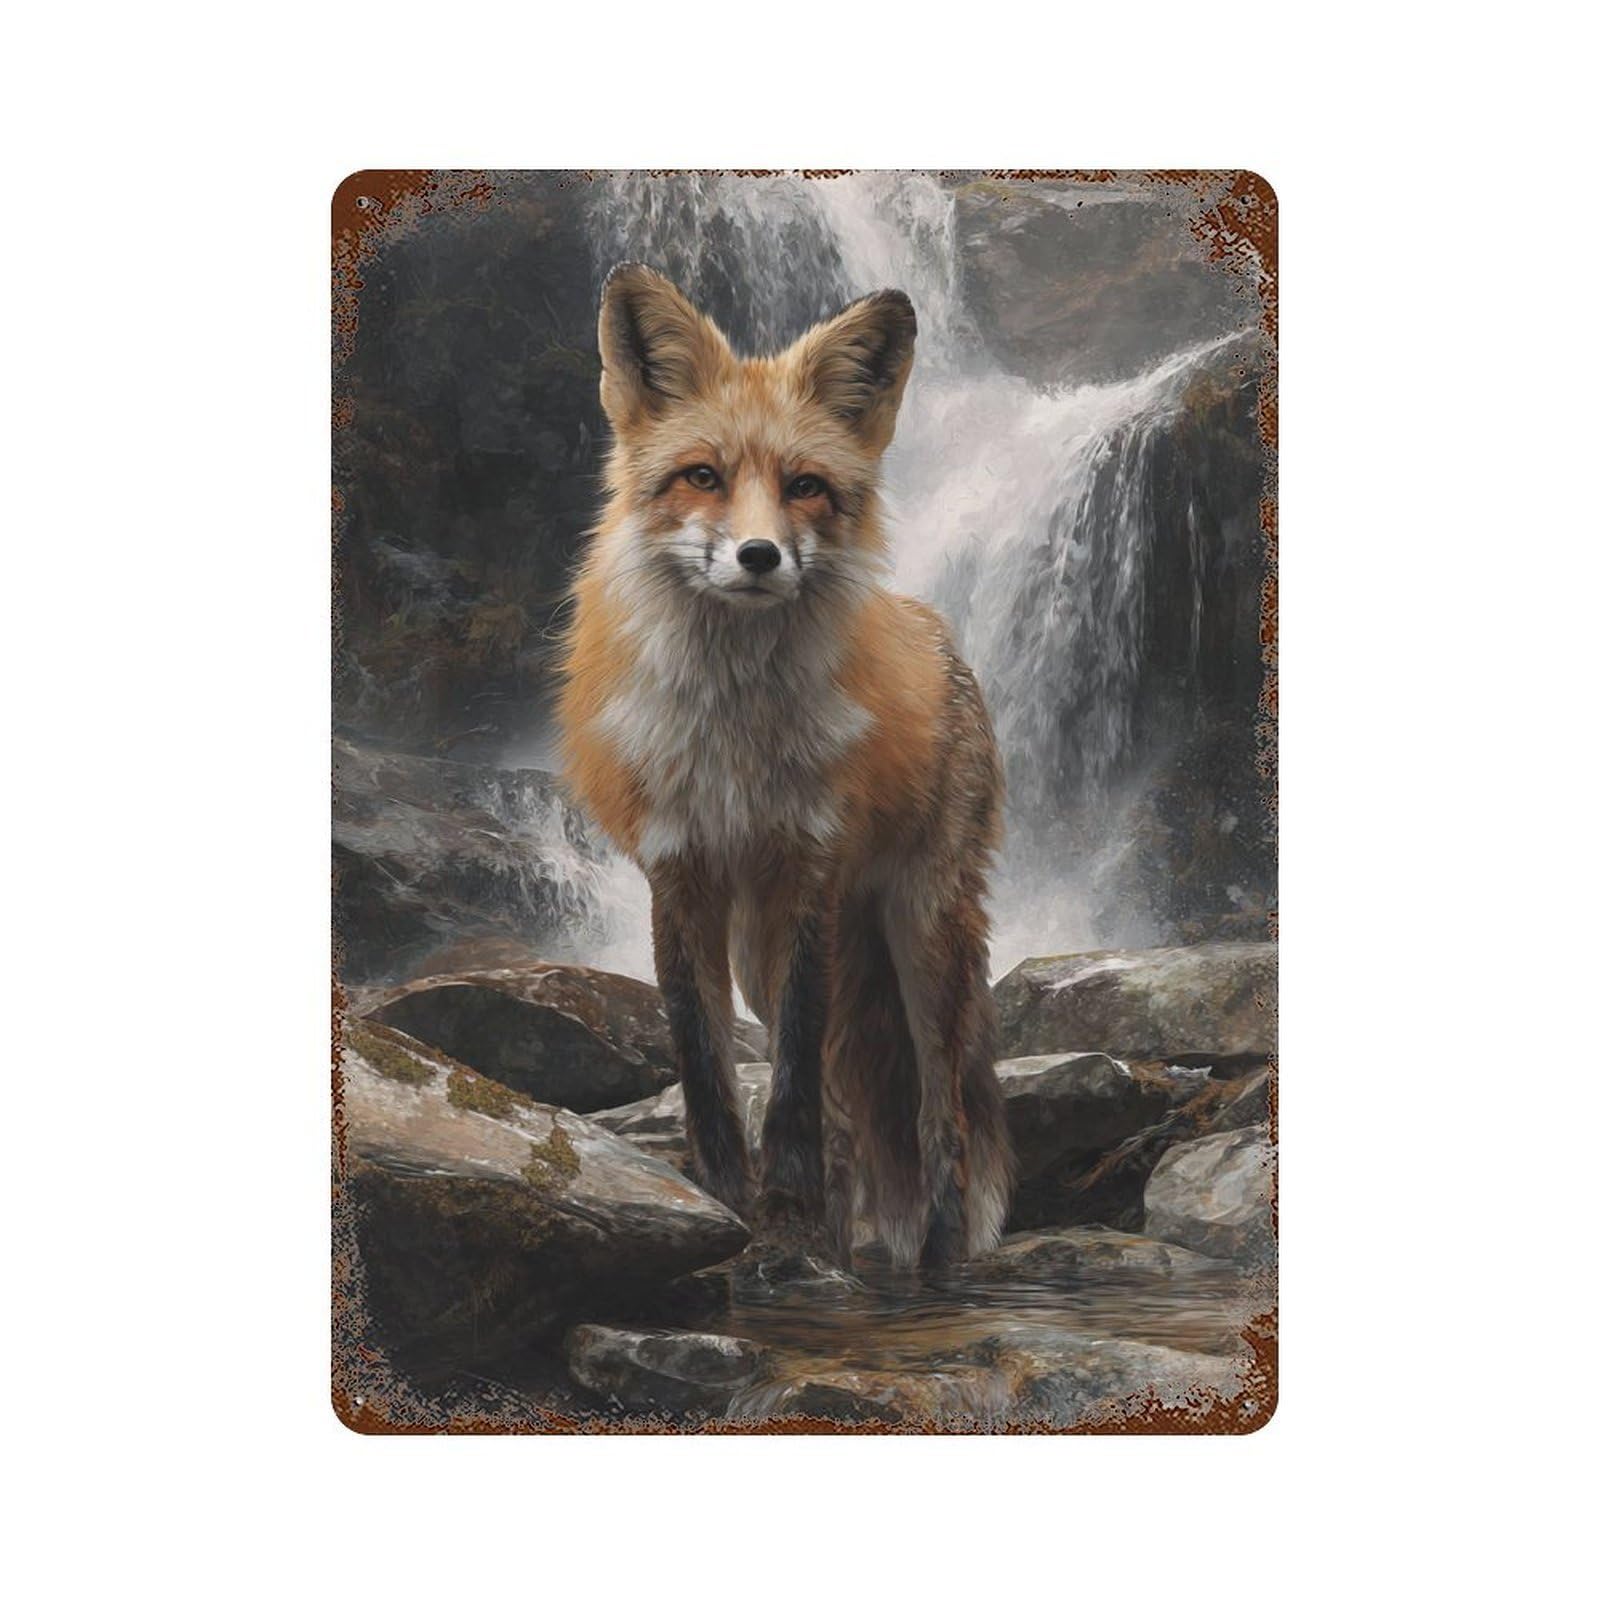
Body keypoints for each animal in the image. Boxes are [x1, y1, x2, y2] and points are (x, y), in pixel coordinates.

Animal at [556, 263, 1014, 1267]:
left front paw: (790, 1216)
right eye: (703, 477)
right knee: (855, 1114)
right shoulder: (680, 871)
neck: (735, 735)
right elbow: (705, 1063)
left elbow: (797, 1080)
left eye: (805, 486)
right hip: (764, 949)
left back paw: (938, 1256)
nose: (759, 556)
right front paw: (728, 1204)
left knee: (942, 1117)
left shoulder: (809, 868)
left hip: (921, 932)